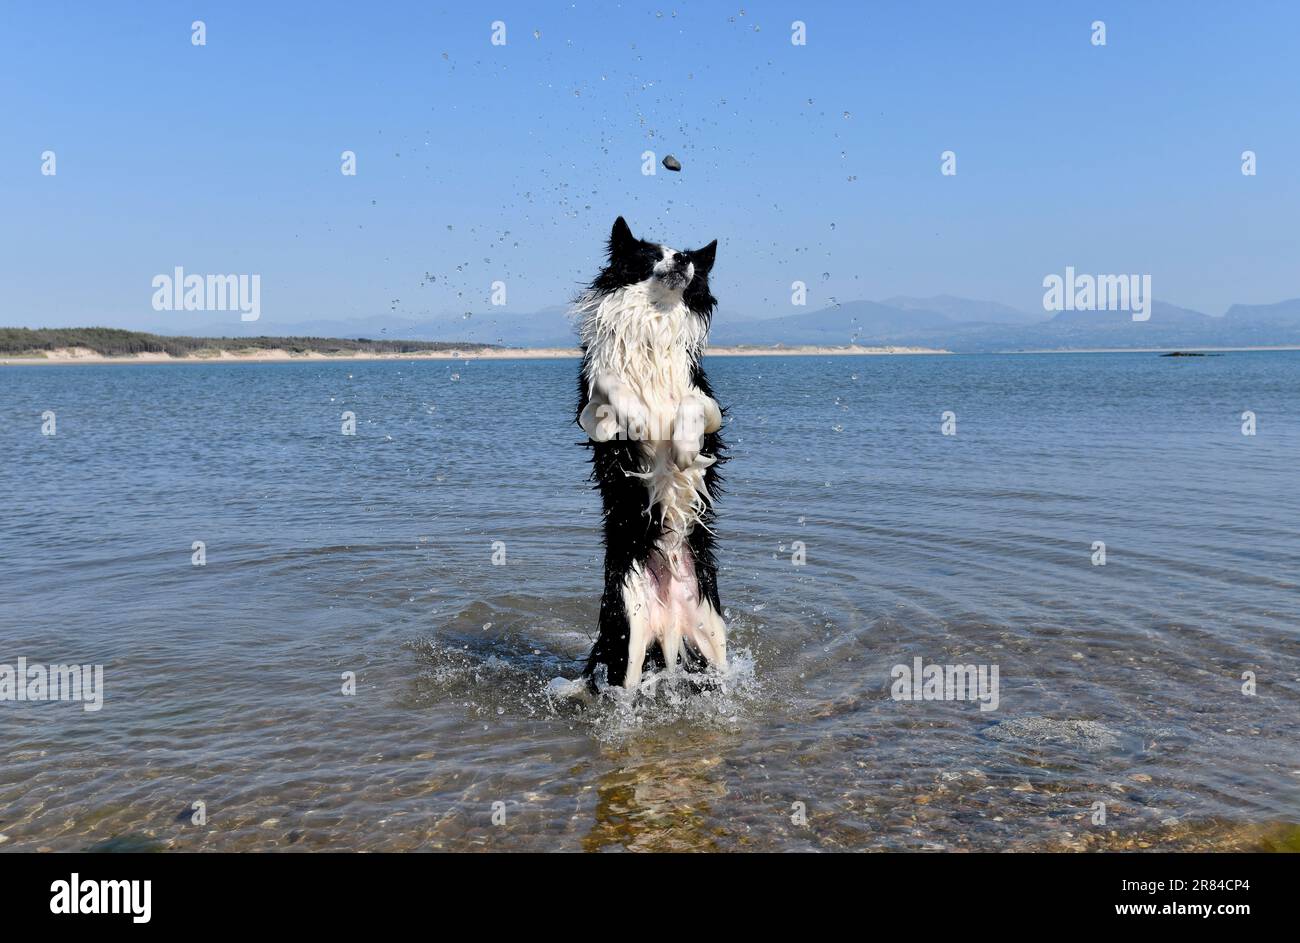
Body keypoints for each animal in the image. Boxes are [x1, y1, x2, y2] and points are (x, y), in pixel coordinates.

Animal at [574, 221, 728, 691]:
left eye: (687, 256)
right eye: (651, 254)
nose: (681, 260)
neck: (655, 320)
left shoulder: (709, 404)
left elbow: (691, 406)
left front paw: (682, 446)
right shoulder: (592, 410)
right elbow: (614, 387)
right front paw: (641, 418)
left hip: (713, 632)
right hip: (628, 632)